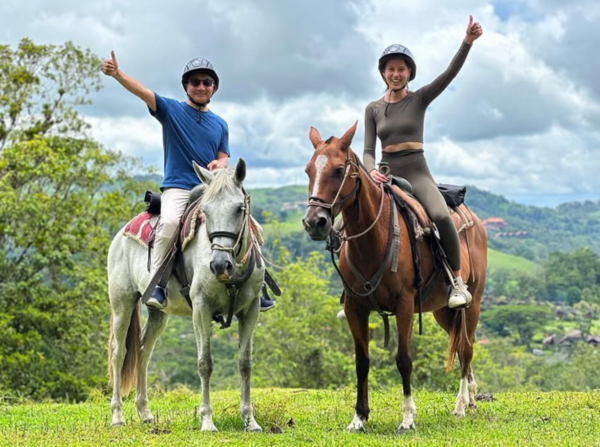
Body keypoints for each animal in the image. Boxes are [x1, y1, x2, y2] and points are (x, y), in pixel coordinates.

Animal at [106, 160, 264, 430]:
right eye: (206, 211)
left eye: (239, 209)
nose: (220, 265)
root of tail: (120, 235)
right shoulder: (201, 308)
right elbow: (205, 363)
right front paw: (207, 420)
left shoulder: (251, 310)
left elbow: (245, 364)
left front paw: (249, 420)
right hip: (122, 304)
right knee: (120, 353)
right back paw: (117, 415)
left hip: (157, 313)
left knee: (143, 352)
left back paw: (145, 413)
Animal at [304, 123, 488, 434]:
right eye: (308, 170)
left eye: (339, 170)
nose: (314, 222)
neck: (373, 239)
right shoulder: (355, 308)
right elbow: (362, 362)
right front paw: (359, 417)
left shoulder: (404, 306)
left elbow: (404, 360)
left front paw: (407, 418)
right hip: (441, 311)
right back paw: (472, 399)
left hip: (471, 304)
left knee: (466, 348)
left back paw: (462, 404)